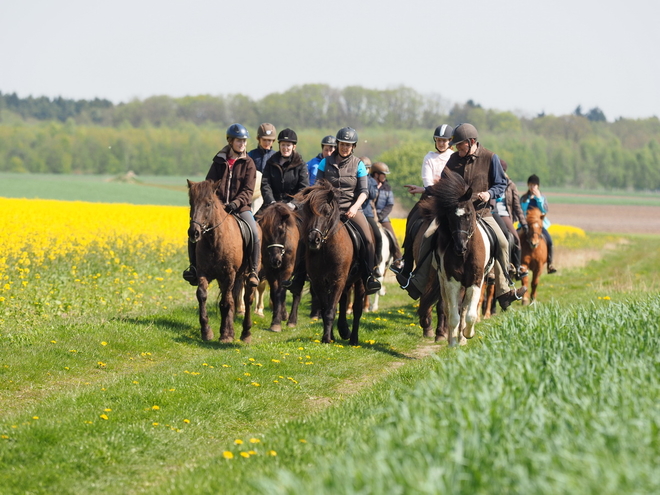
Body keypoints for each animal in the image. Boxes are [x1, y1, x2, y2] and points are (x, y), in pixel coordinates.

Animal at [187, 179, 260, 344]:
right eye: (191, 202)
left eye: (208, 204)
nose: (194, 232)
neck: (214, 240)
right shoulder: (203, 273)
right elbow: (202, 295)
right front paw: (207, 332)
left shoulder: (229, 274)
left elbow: (226, 302)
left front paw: (225, 335)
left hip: (247, 275)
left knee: (247, 298)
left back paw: (245, 333)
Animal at [256, 202, 302, 334]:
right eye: (265, 232)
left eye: (282, 231)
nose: (276, 260)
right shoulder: (270, 271)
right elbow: (274, 292)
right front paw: (279, 317)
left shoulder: (286, 270)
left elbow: (280, 292)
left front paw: (277, 322)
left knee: (297, 292)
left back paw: (292, 320)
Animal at [296, 180, 364, 346]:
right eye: (308, 212)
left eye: (327, 213)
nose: (314, 240)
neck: (326, 250)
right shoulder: (319, 282)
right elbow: (325, 308)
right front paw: (330, 336)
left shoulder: (337, 280)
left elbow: (330, 310)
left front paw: (327, 338)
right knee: (344, 301)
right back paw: (344, 330)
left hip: (359, 281)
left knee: (357, 309)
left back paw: (353, 339)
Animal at [422, 170, 496, 348]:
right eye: (450, 217)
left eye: (469, 214)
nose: (460, 247)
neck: (465, 255)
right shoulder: (451, 281)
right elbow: (453, 314)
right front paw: (452, 343)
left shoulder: (476, 281)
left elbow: (470, 314)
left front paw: (468, 334)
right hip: (443, 282)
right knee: (449, 309)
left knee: (465, 309)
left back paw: (463, 337)